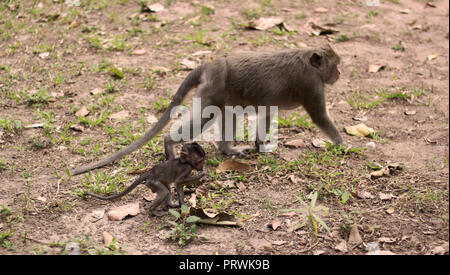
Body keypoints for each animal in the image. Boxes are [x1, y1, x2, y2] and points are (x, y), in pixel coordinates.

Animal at [72, 44, 342, 176]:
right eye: (335, 65)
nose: (339, 74)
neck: (308, 61)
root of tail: (210, 63)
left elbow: (266, 112)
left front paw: (260, 146)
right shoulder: (311, 84)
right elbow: (319, 116)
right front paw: (343, 145)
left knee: (228, 114)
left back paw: (227, 150)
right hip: (214, 88)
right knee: (206, 116)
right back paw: (169, 144)